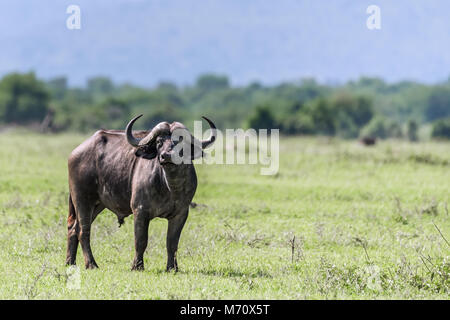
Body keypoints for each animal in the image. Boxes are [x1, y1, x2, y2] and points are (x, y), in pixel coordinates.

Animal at [64, 115, 216, 270]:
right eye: (159, 142)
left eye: (180, 141)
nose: (166, 156)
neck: (170, 187)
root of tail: (76, 152)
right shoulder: (140, 211)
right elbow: (141, 241)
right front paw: (137, 266)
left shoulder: (181, 214)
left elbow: (172, 243)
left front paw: (172, 268)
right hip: (83, 200)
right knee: (83, 231)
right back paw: (91, 264)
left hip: (97, 204)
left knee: (74, 228)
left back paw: (70, 262)